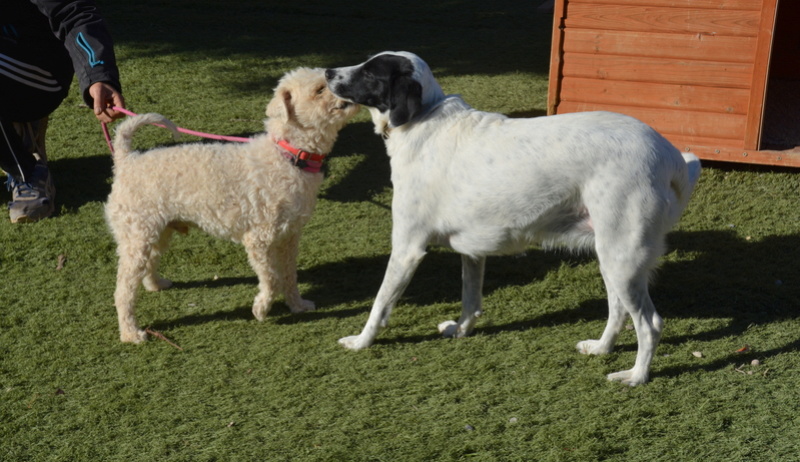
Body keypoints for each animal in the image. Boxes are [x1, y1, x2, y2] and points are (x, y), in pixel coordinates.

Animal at [105, 67, 360, 342]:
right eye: (320, 89)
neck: (289, 156)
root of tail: (126, 160)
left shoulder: (290, 236)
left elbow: (289, 275)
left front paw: (298, 305)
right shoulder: (260, 238)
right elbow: (272, 278)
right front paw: (261, 308)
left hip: (158, 230)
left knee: (149, 262)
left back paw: (155, 285)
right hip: (136, 235)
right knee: (123, 290)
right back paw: (131, 333)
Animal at [324, 52, 700, 386]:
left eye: (370, 71)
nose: (327, 72)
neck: (423, 119)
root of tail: (668, 154)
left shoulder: (407, 249)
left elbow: (379, 305)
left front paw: (360, 341)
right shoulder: (472, 251)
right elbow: (471, 300)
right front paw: (460, 331)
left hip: (623, 259)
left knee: (650, 324)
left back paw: (636, 377)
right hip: (611, 256)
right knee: (618, 311)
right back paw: (601, 348)